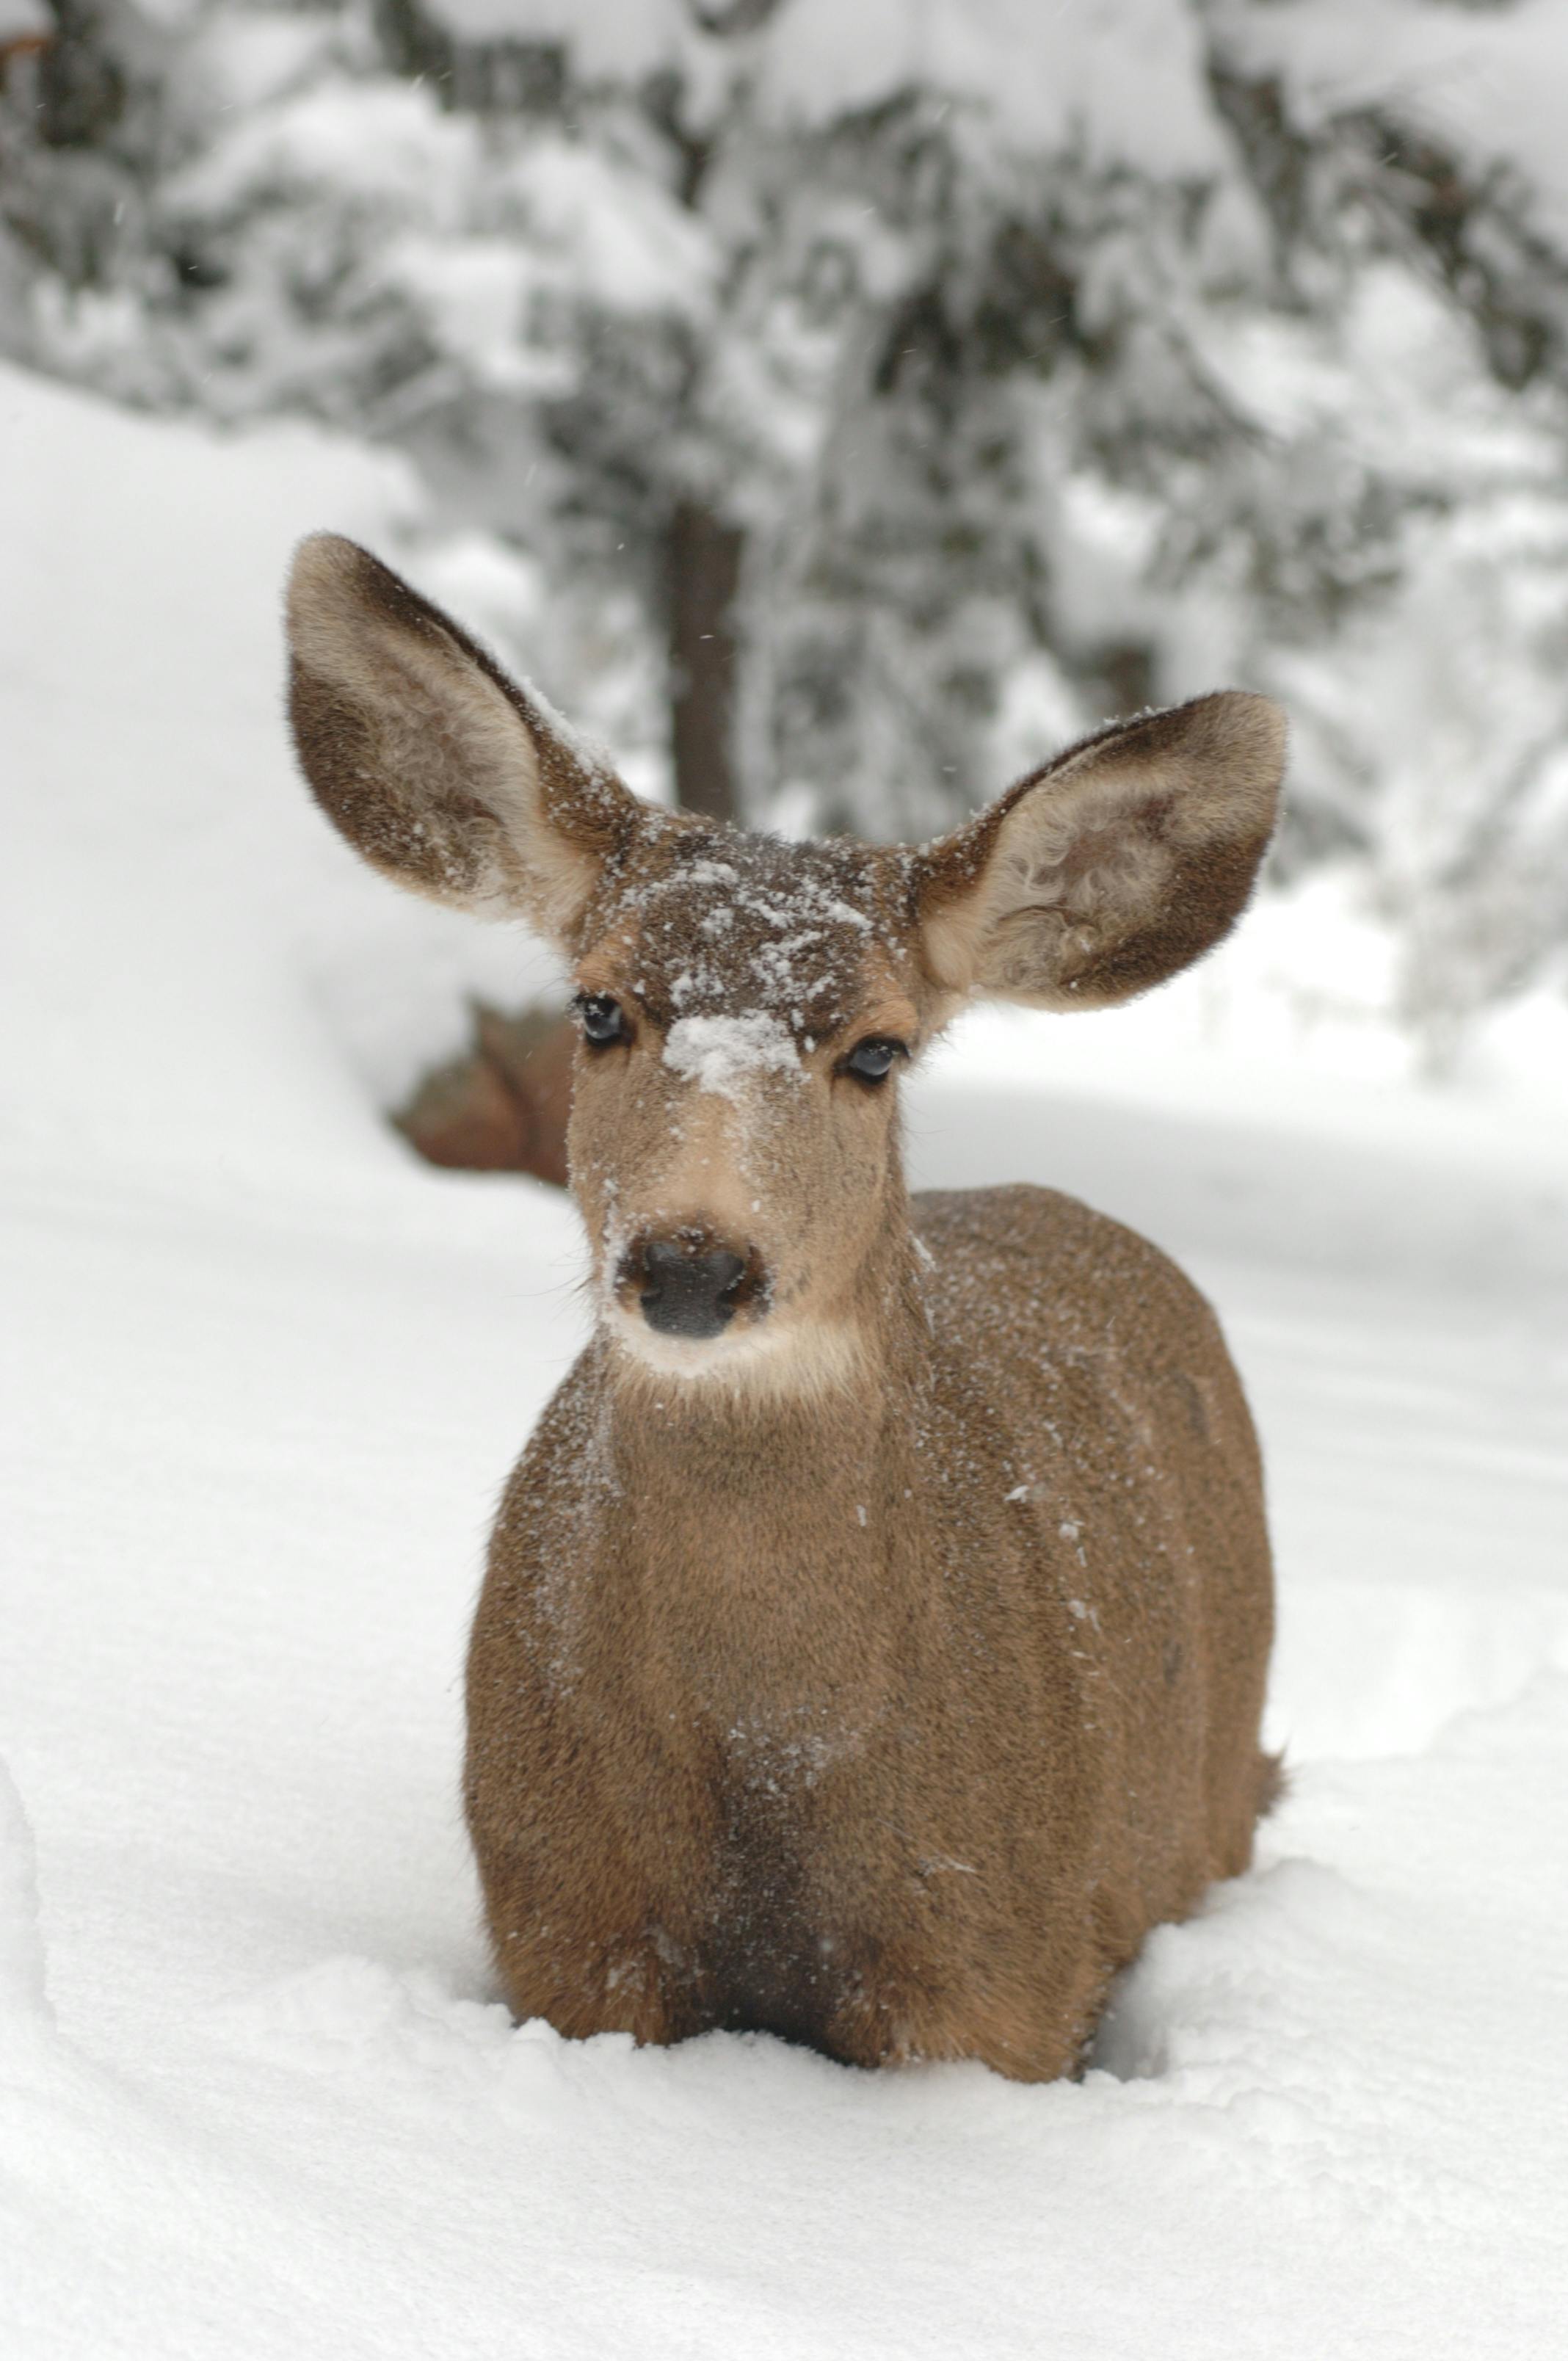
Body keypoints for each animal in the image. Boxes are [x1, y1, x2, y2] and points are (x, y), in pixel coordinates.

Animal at [284, 536, 1284, 2086]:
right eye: (597, 1010)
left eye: (876, 1050)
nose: (694, 1263)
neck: (771, 1771)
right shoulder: (565, 1926)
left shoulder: (1001, 1969)